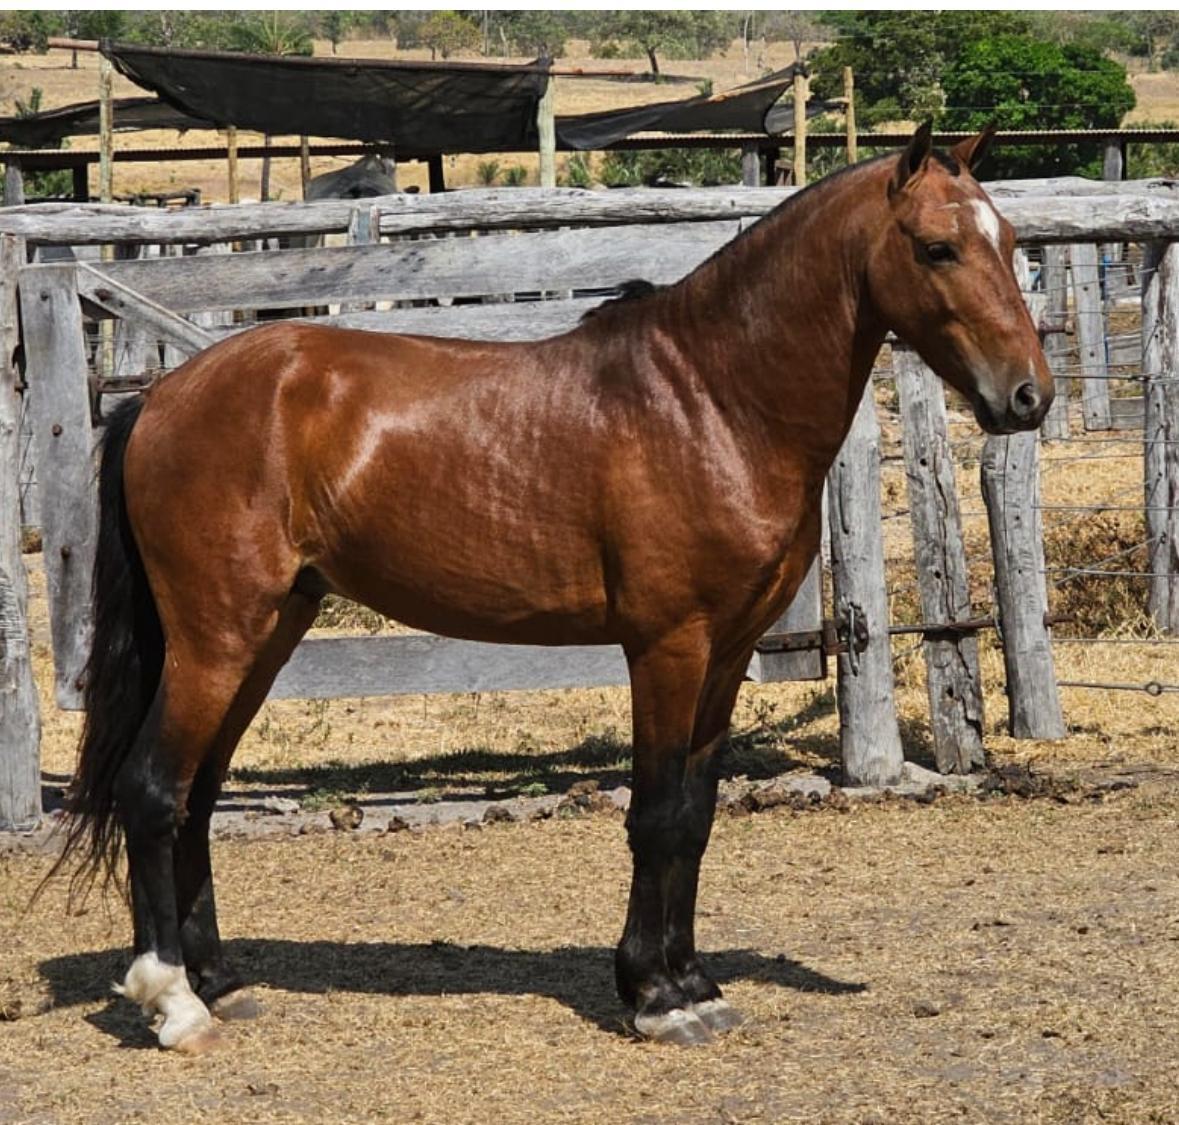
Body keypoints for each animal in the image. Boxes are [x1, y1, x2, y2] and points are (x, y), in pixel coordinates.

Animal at [53, 124, 1052, 1053]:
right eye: (937, 247)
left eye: (1008, 239)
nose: (1027, 396)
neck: (712, 398)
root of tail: (162, 395)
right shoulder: (667, 645)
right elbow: (656, 815)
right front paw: (655, 996)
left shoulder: (727, 652)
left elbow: (696, 815)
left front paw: (692, 983)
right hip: (216, 637)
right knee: (153, 788)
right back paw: (173, 1000)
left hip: (266, 631)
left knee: (196, 795)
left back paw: (219, 980)